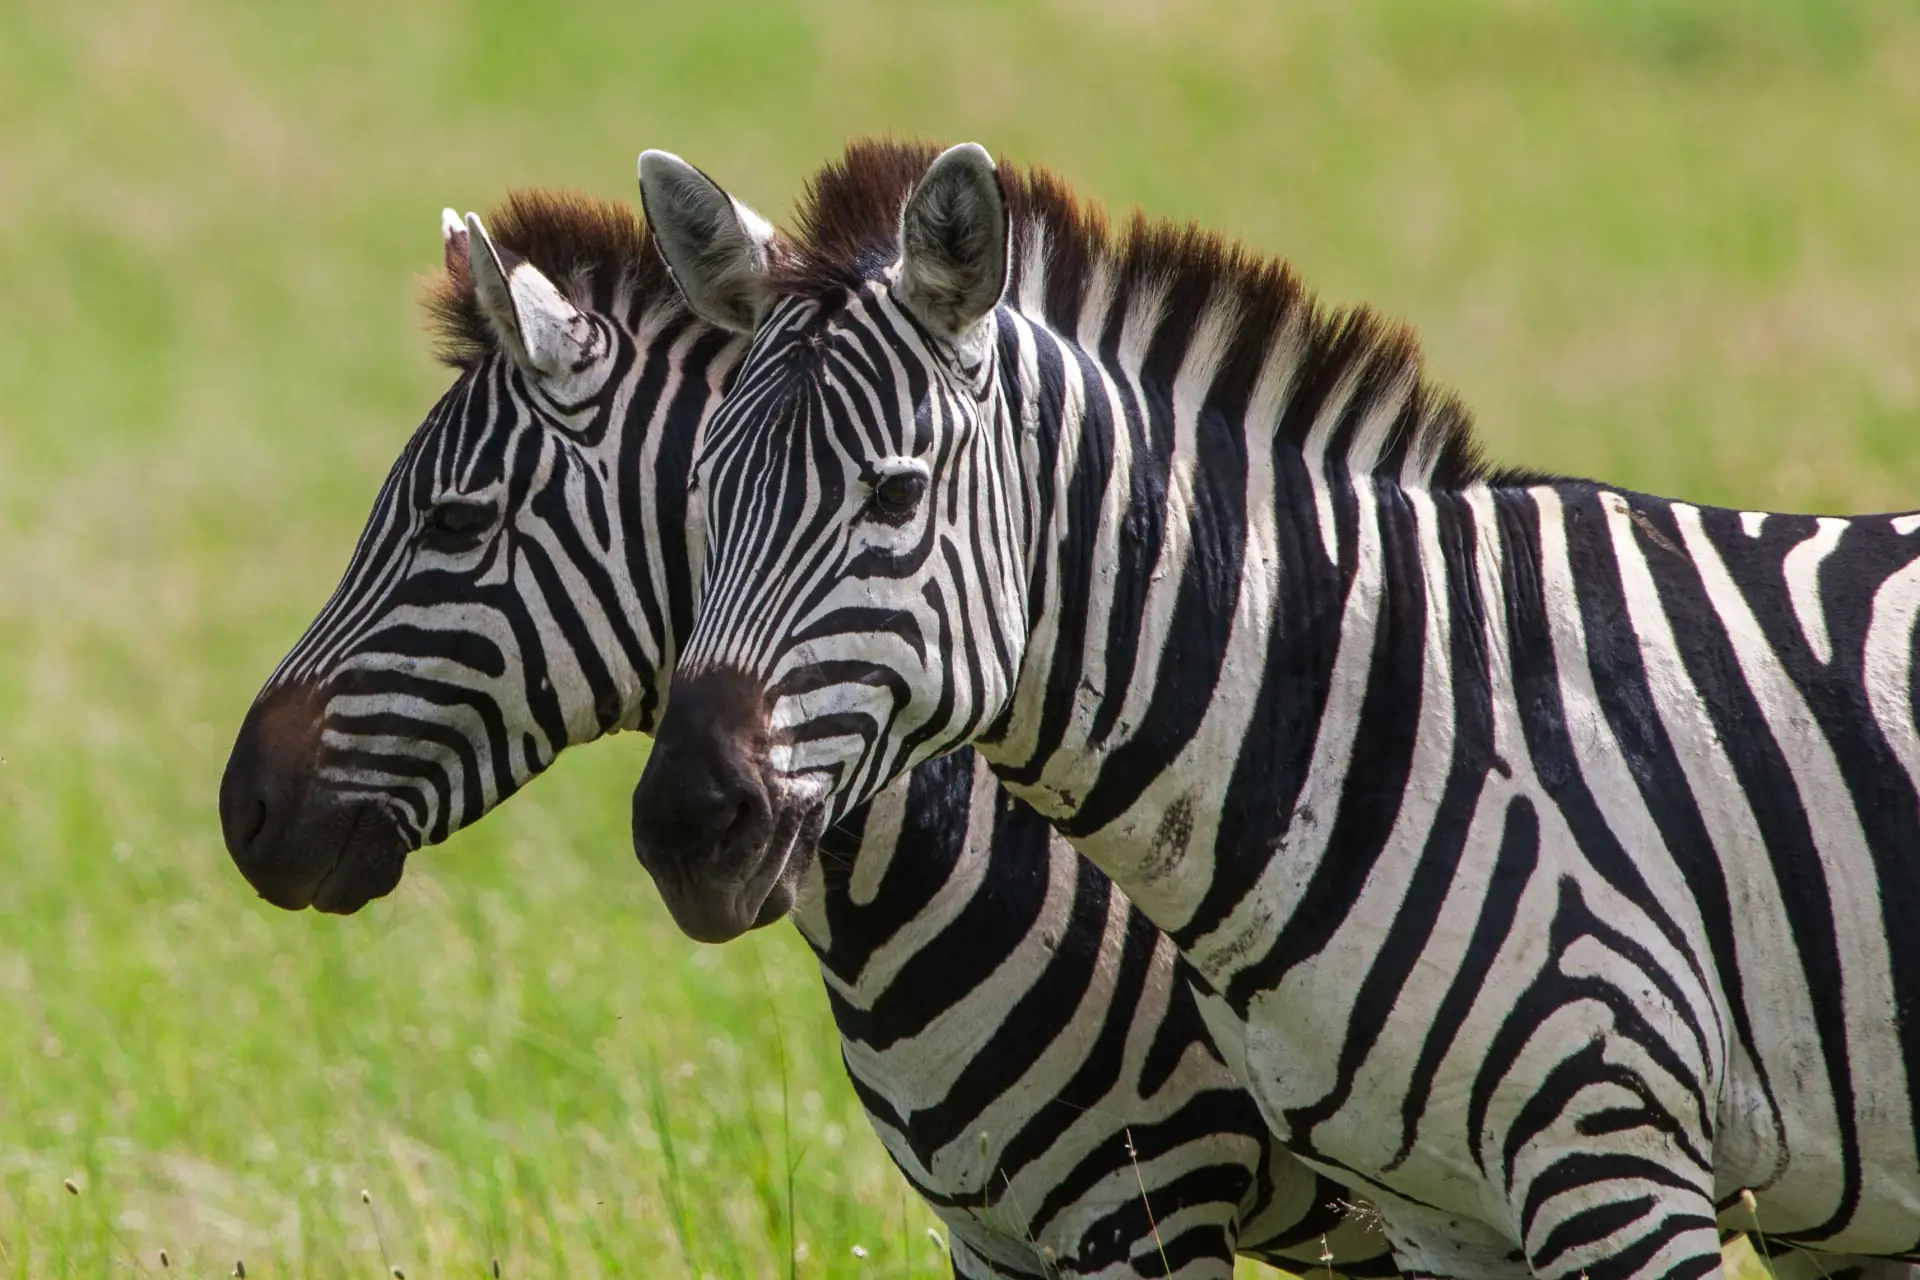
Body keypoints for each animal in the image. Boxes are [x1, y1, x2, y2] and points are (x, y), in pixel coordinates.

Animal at [629, 137, 1920, 1280]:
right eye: (700, 491)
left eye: (893, 495)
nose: (687, 821)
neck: (1375, 706)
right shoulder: (1442, 1213)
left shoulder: (1611, 1150)